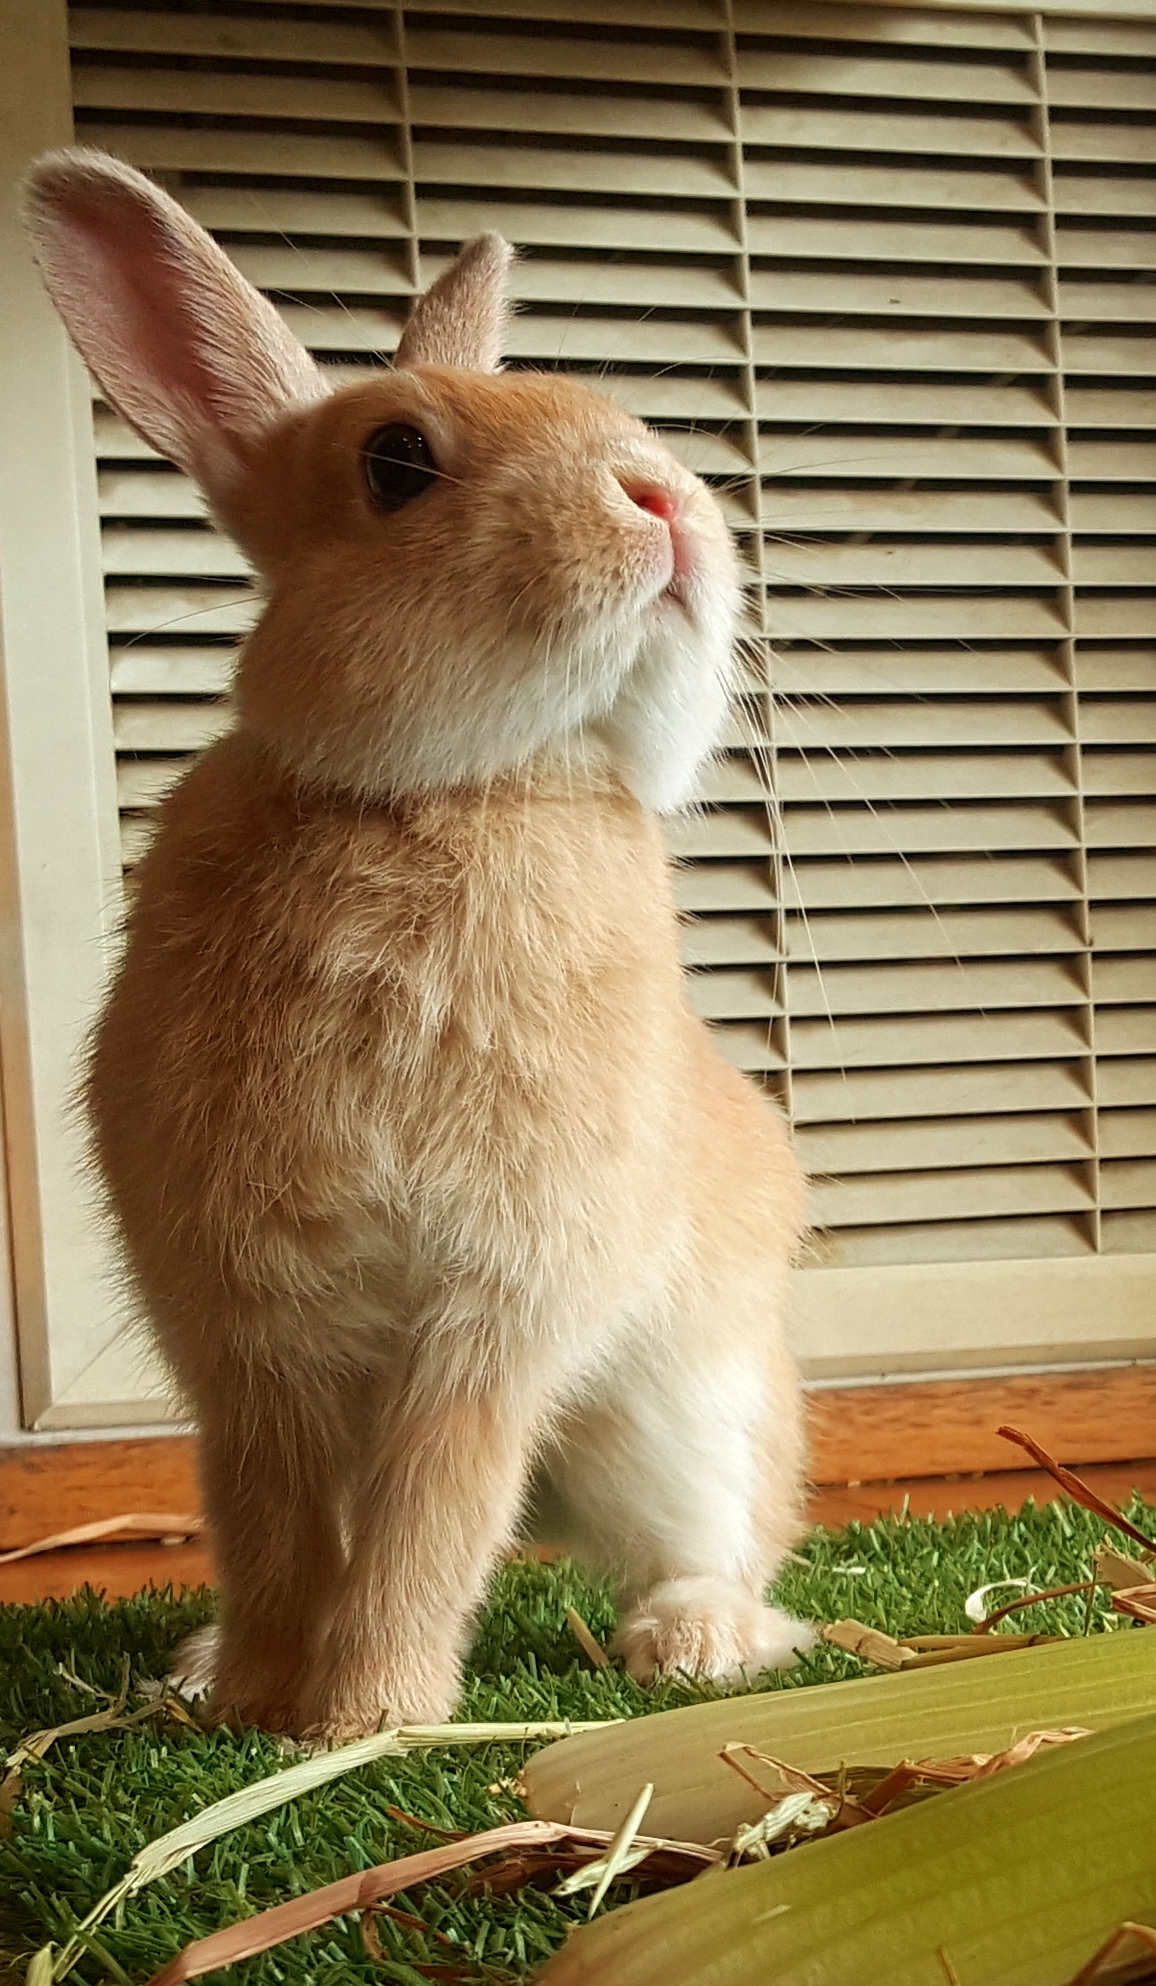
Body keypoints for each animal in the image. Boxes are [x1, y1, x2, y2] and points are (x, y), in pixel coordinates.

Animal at [24, 147, 813, 1740]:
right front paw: (261, 1700)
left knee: (734, 1542)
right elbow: (272, 1518)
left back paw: (691, 1642)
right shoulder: (246, 1326)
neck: (459, 792)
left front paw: (366, 1716)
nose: (667, 497)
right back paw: (195, 1665)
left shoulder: (492, 1312)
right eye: (396, 461)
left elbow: (431, 1517)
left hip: (687, 1410)